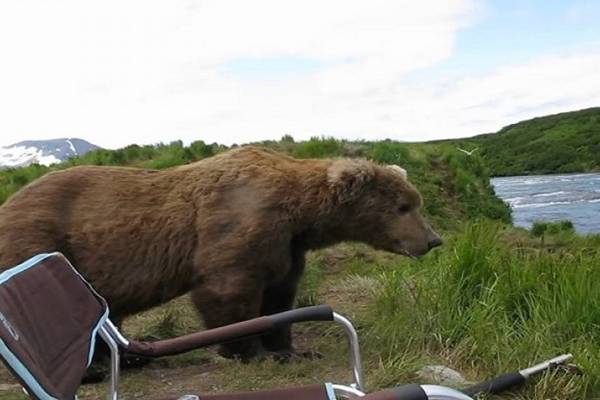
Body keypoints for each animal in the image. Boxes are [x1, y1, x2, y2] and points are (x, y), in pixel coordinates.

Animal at [0, 145, 440, 358]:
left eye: (415, 202)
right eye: (403, 207)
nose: (433, 239)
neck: (300, 214)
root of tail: (9, 202)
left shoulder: (287, 246)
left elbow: (280, 295)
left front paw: (290, 348)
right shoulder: (239, 222)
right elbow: (229, 291)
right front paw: (249, 351)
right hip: (40, 240)